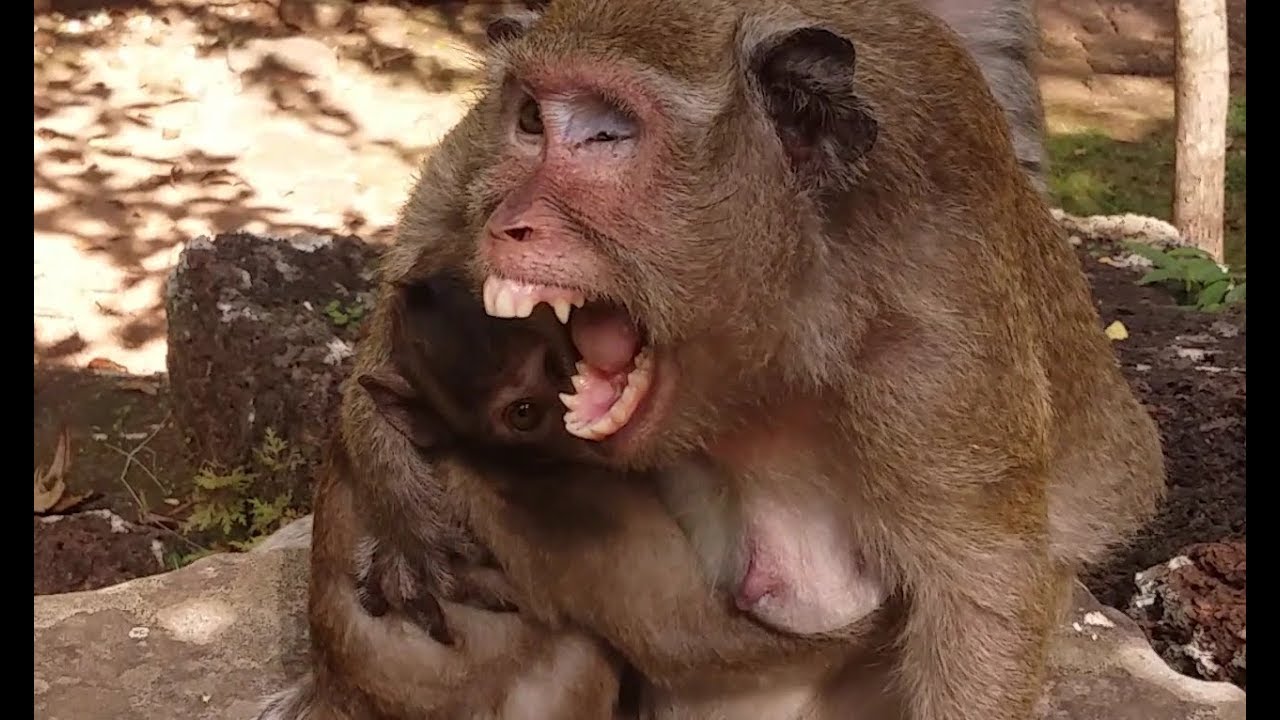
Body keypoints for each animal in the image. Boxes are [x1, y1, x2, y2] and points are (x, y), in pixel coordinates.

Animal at [320, 0, 1165, 718]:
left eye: (606, 135)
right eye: (531, 120)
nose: (509, 224)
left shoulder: (939, 359)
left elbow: (983, 596)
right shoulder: (478, 170)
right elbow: (433, 220)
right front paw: (399, 480)